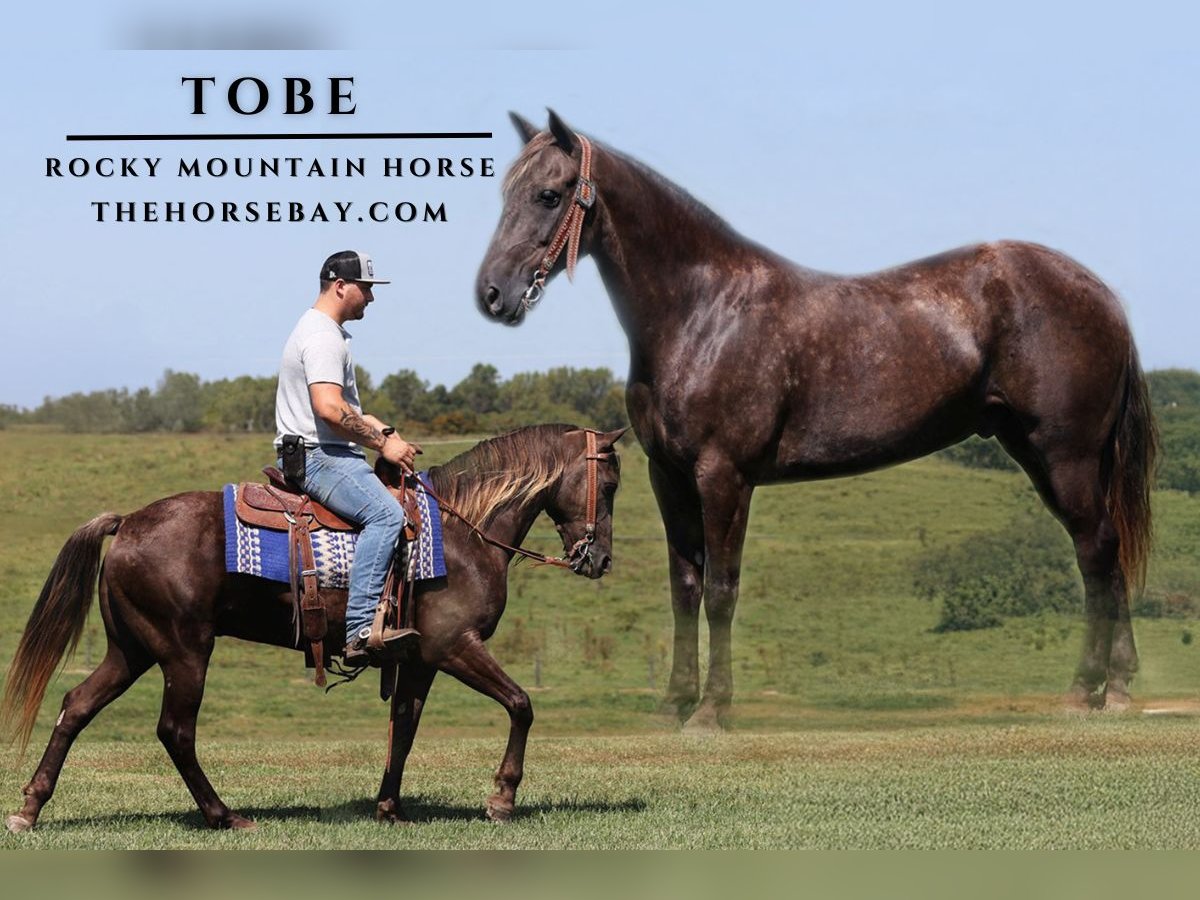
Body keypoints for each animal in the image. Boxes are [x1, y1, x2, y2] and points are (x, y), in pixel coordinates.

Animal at [4, 422, 628, 830]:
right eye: (612, 485)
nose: (598, 560)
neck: (462, 532)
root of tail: (128, 522)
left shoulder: (419, 659)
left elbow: (405, 728)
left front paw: (389, 808)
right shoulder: (455, 647)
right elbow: (522, 704)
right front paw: (501, 799)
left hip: (130, 649)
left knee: (76, 706)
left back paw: (30, 808)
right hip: (184, 651)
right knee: (175, 731)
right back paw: (224, 815)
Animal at [472, 112, 1156, 734]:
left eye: (549, 194)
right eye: (506, 191)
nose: (492, 295)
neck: (702, 312)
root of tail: (1101, 294)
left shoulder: (724, 476)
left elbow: (722, 590)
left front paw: (712, 713)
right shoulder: (669, 476)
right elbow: (684, 588)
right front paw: (672, 707)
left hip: (1063, 454)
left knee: (1096, 551)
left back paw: (1087, 691)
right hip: (1042, 452)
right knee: (1106, 553)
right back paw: (1117, 689)